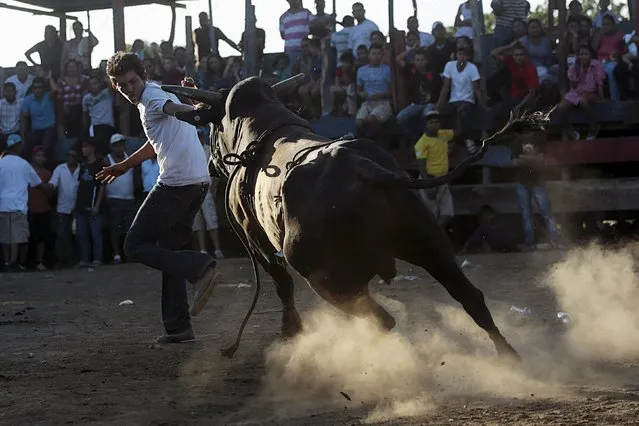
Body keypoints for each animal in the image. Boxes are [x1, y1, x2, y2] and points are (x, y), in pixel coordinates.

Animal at [162, 75, 548, 362]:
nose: (211, 165)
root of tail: (361, 165)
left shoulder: (257, 243)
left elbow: (282, 285)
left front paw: (291, 331)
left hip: (324, 276)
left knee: (383, 319)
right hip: (430, 246)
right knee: (469, 297)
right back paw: (508, 356)